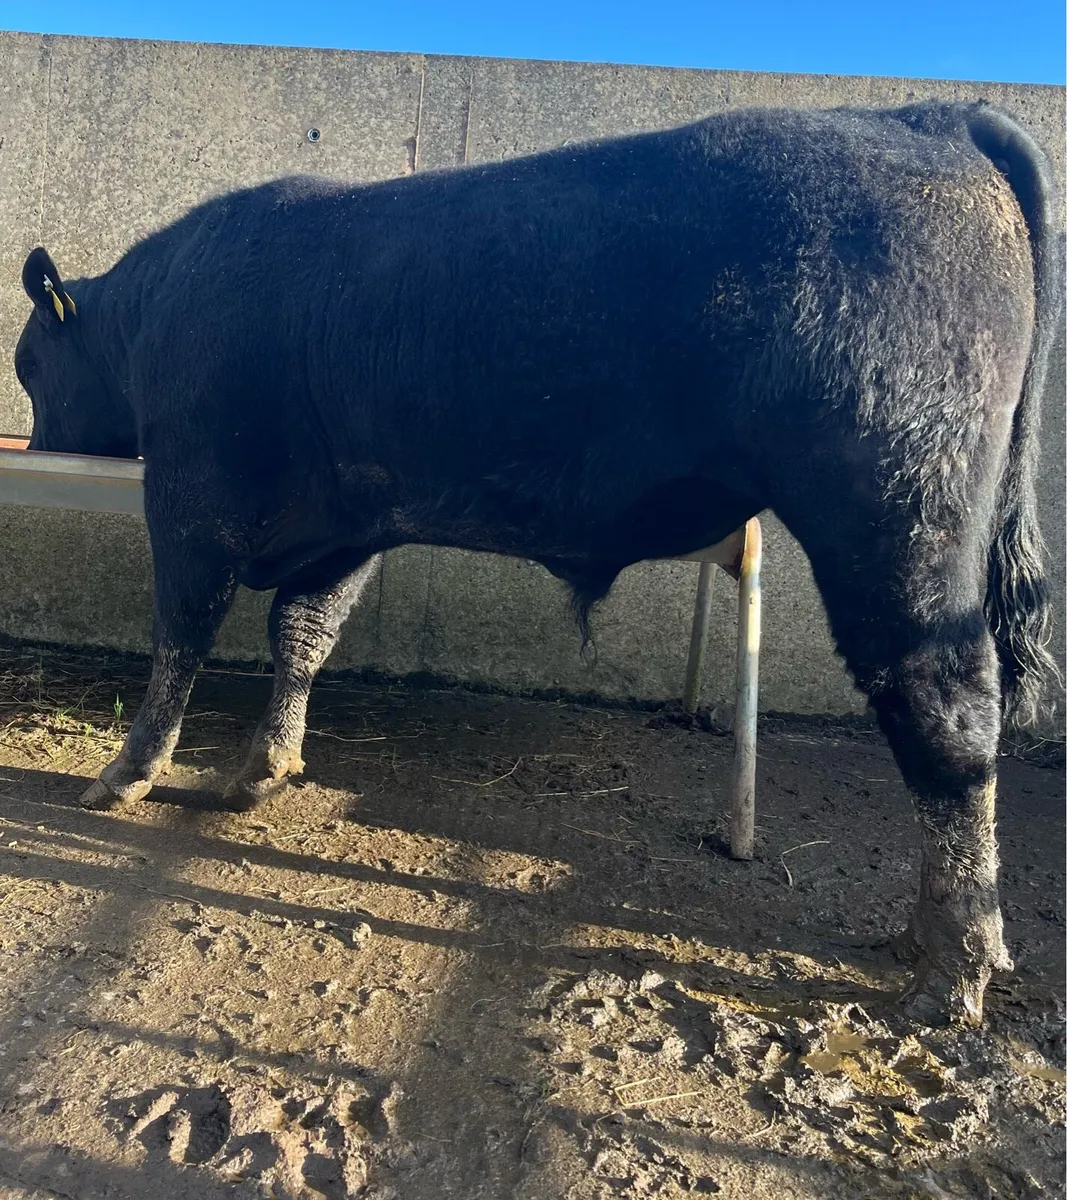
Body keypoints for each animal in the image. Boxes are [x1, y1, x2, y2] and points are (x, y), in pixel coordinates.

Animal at [13, 101, 1061, 1026]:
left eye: (31, 363)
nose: (39, 441)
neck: (159, 308)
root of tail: (927, 115)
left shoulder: (193, 500)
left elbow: (180, 638)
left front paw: (126, 773)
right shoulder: (345, 523)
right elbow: (302, 636)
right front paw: (265, 767)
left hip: (898, 520)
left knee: (945, 709)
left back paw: (952, 969)